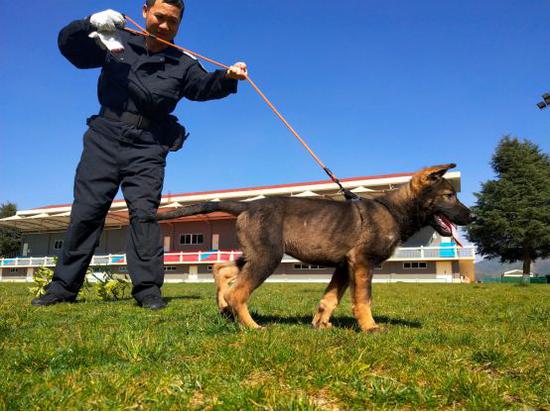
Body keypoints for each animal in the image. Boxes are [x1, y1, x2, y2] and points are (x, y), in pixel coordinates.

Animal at [158, 164, 474, 332]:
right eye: (449, 195)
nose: (471, 217)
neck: (394, 211)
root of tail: (246, 206)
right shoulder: (362, 262)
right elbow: (364, 300)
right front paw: (370, 327)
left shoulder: (345, 265)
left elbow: (330, 298)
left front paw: (321, 324)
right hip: (268, 256)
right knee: (239, 291)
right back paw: (251, 326)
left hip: (255, 253)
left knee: (222, 268)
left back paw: (223, 305)